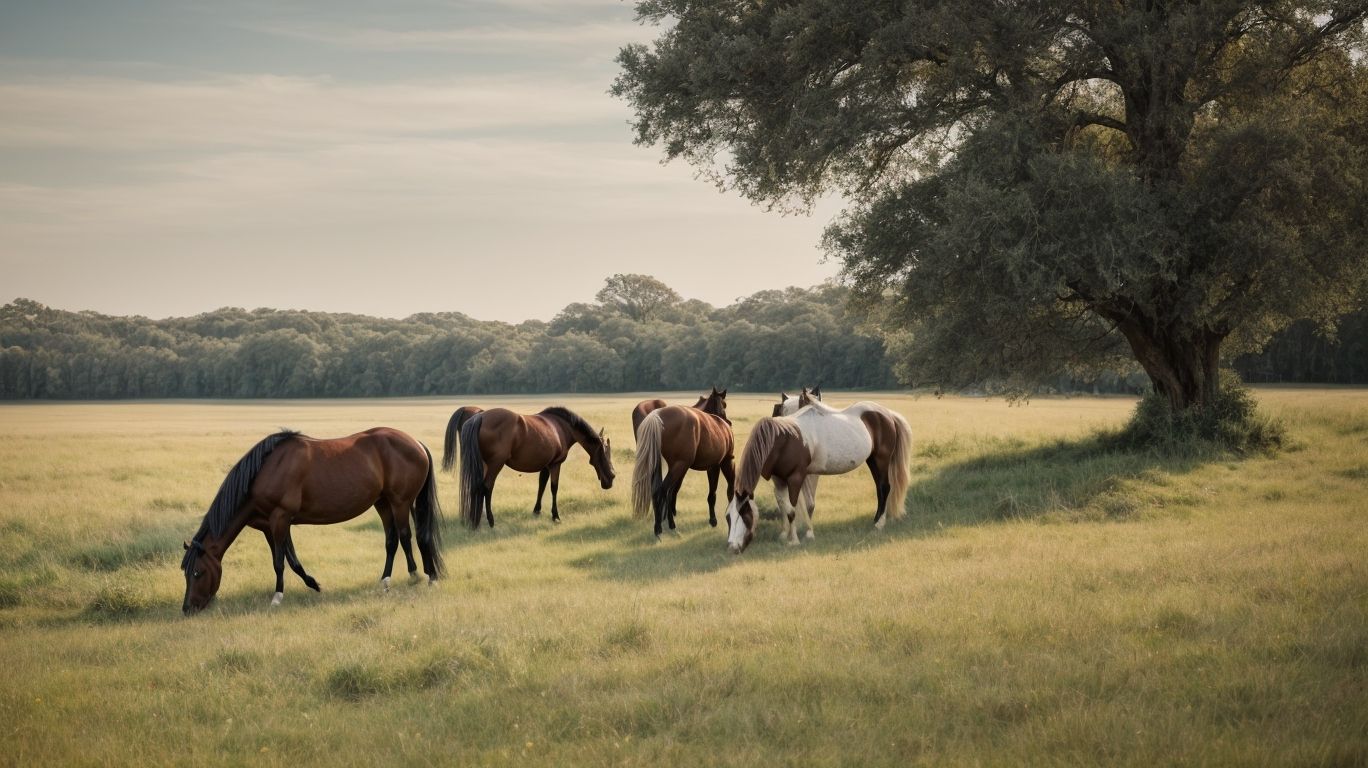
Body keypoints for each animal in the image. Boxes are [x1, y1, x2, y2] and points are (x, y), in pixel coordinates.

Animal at [181, 428, 444, 614]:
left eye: (197, 572)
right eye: (185, 573)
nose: (187, 609)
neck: (265, 472)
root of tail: (416, 443)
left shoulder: (280, 518)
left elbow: (279, 562)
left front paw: (277, 597)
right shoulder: (272, 525)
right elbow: (291, 560)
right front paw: (314, 584)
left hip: (400, 501)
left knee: (408, 535)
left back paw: (418, 575)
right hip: (383, 503)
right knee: (392, 540)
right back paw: (388, 581)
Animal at [445, 406, 615, 528]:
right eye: (605, 455)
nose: (611, 479)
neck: (560, 427)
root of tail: (479, 417)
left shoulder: (545, 465)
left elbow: (541, 485)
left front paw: (537, 510)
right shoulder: (555, 464)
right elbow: (554, 488)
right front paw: (555, 516)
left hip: (482, 464)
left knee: (475, 486)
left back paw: (474, 518)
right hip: (495, 464)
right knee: (487, 487)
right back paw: (490, 520)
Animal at [631, 387, 734, 538]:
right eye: (724, 404)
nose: (729, 423)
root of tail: (656, 416)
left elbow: (675, 491)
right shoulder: (717, 464)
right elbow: (714, 493)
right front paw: (713, 520)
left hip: (660, 464)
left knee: (657, 490)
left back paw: (661, 523)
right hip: (678, 466)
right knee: (663, 490)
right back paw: (662, 527)